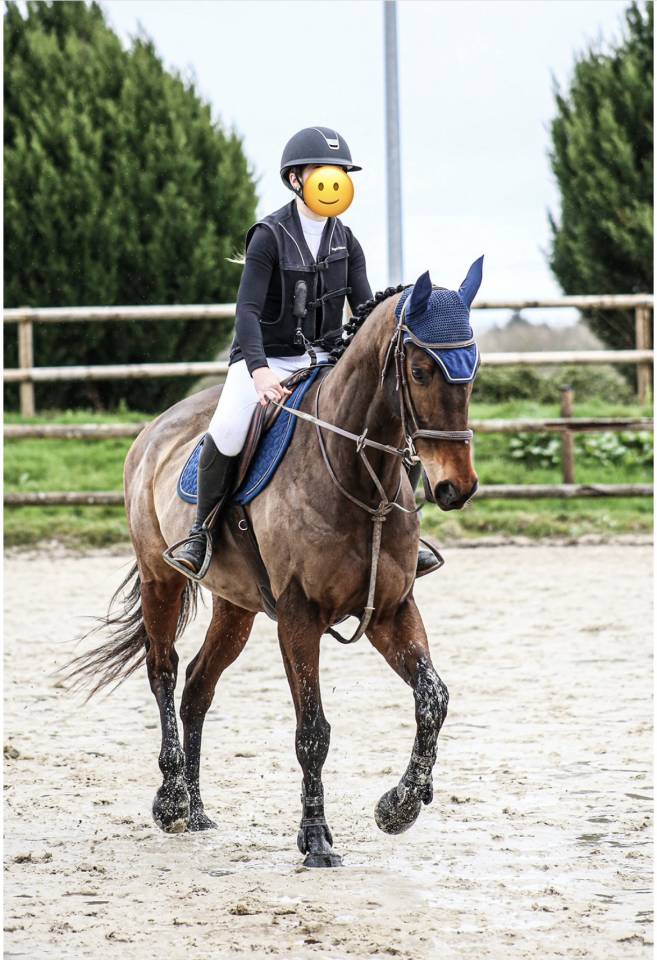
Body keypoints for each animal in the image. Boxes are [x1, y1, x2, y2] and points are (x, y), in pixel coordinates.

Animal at [66, 259, 482, 868]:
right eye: (422, 370)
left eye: (473, 370)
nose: (457, 488)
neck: (359, 477)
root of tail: (156, 428)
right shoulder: (298, 615)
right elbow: (313, 730)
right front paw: (317, 839)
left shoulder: (391, 610)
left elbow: (433, 699)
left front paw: (400, 806)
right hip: (160, 579)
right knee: (163, 670)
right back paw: (172, 801)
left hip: (235, 606)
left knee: (198, 685)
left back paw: (196, 809)